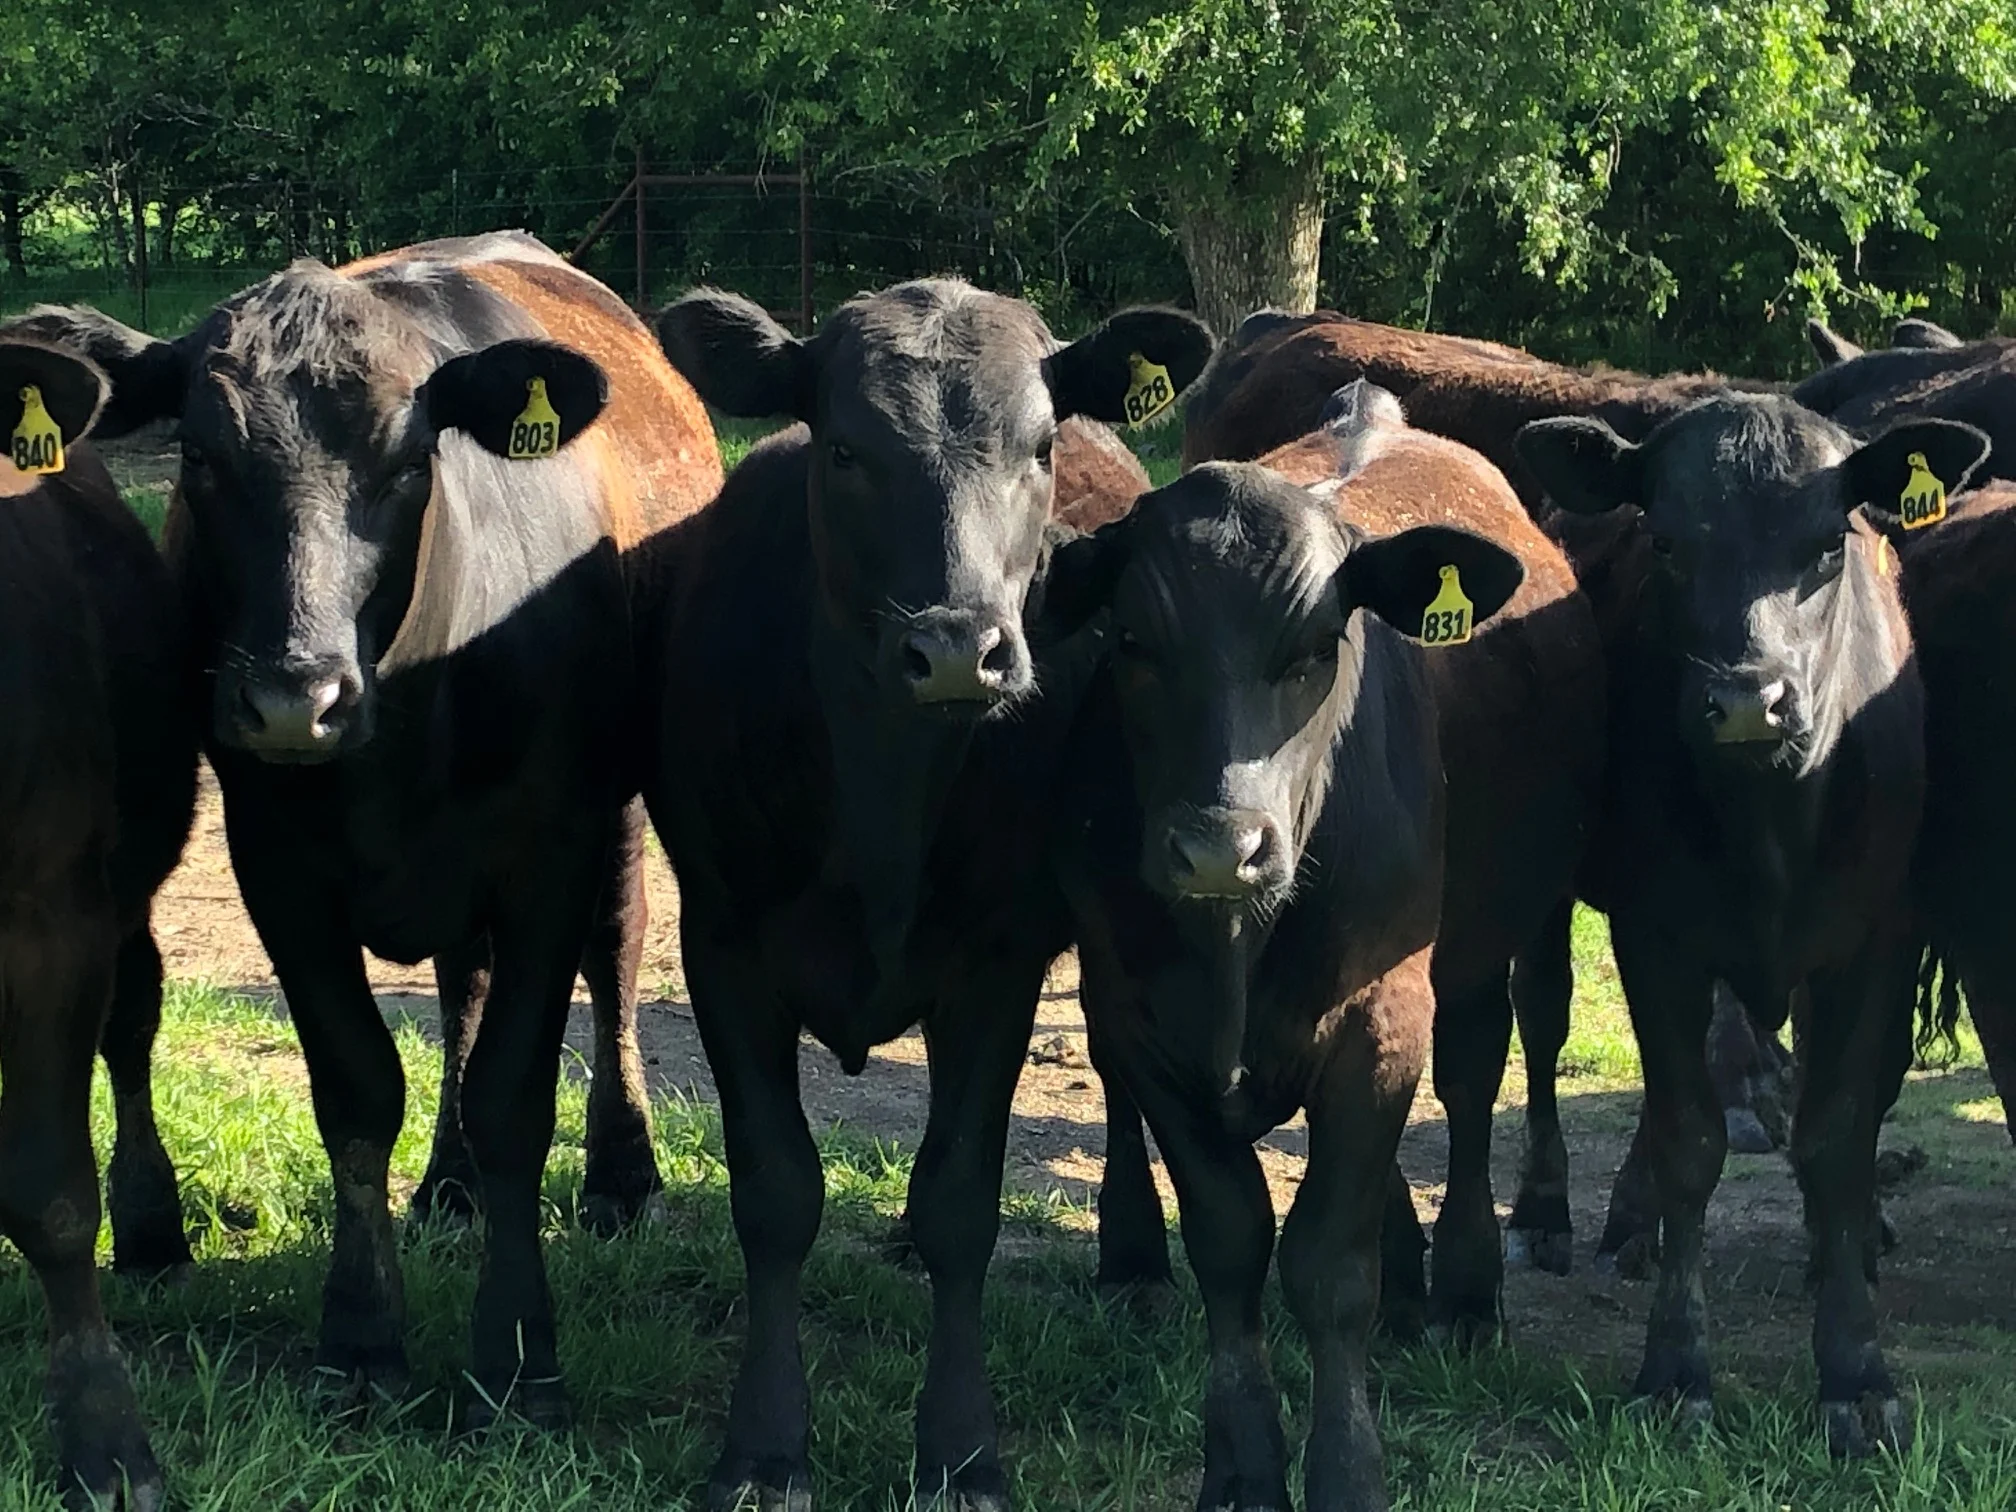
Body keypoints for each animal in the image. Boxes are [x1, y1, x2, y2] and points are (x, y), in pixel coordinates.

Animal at [14, 231, 722, 1426]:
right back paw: (448, 1184)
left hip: (620, 813)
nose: (296, 699)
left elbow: (516, 1090)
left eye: (407, 458)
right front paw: (360, 1338)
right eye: (199, 455)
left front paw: (518, 1353)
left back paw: (621, 1176)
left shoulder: (549, 846)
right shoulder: (278, 867)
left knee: (616, 955)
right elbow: (357, 1088)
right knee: (461, 985)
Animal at [648, 278, 1211, 1510]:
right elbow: (776, 1193)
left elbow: (963, 1201)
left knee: (1118, 1060)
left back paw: (1136, 1257)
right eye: (845, 448)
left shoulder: (996, 964)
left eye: (1038, 446)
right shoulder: (723, 944)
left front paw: (961, 1452)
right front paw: (764, 1446)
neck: (883, 813)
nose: (959, 648)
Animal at [1037, 383, 1600, 1510]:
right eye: (1132, 642)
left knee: (1474, 1082)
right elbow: (1232, 1243)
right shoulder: (1144, 1025)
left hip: (1480, 948)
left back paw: (1465, 1286)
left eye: (1314, 648)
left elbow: (1328, 1267)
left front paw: (1346, 1470)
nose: (1222, 844)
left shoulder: (1382, 1017)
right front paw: (1243, 1467)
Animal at [1514, 393, 1990, 1453]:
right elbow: (1690, 1136)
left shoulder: (1875, 938)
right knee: (1543, 1020)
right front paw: (1674, 1369)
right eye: (1667, 541)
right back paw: (1552, 1214)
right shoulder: (1656, 939)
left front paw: (1855, 1368)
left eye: (1827, 544)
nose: (1747, 698)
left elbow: (1838, 1131)